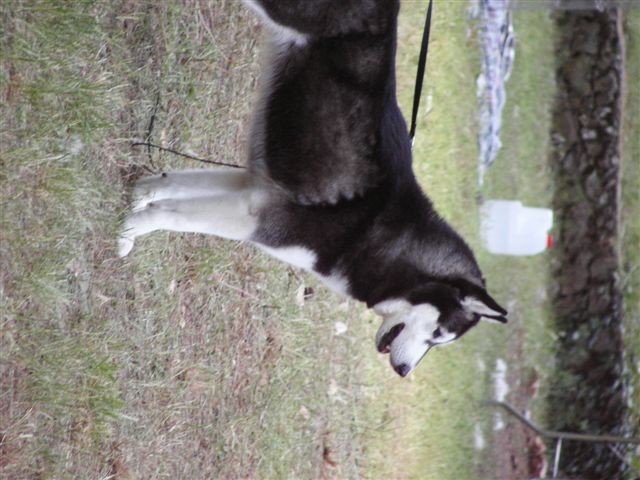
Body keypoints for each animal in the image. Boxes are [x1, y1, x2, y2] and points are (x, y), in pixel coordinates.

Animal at [119, 0, 504, 378]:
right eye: (437, 334)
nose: (405, 371)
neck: (389, 242)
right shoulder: (259, 218)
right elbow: (170, 217)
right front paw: (129, 230)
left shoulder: (252, 188)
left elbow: (168, 185)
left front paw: (135, 204)